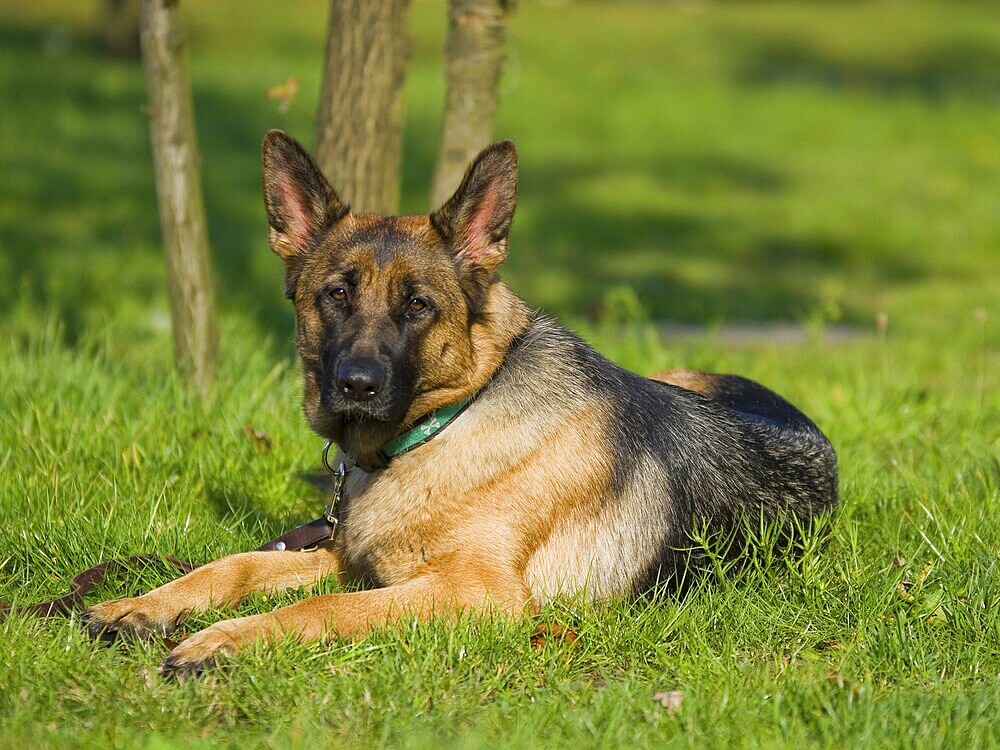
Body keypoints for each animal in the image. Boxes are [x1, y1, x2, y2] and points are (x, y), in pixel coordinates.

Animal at [84, 132, 836, 680]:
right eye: (335, 294)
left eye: (418, 306)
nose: (356, 385)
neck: (447, 424)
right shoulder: (353, 558)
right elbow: (234, 565)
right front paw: (143, 607)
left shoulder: (469, 594)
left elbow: (321, 608)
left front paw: (224, 640)